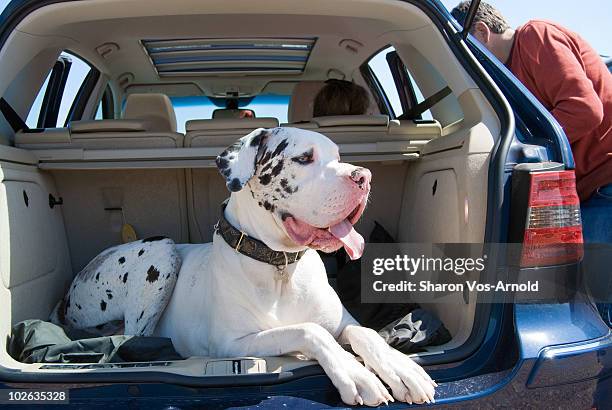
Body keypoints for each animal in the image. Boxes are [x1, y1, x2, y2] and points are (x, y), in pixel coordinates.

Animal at [51, 128, 436, 406]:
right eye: (304, 158)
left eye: (339, 157)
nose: (363, 176)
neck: (281, 267)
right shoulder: (233, 344)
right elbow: (310, 331)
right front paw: (356, 375)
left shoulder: (343, 321)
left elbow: (363, 332)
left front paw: (402, 369)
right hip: (161, 252)